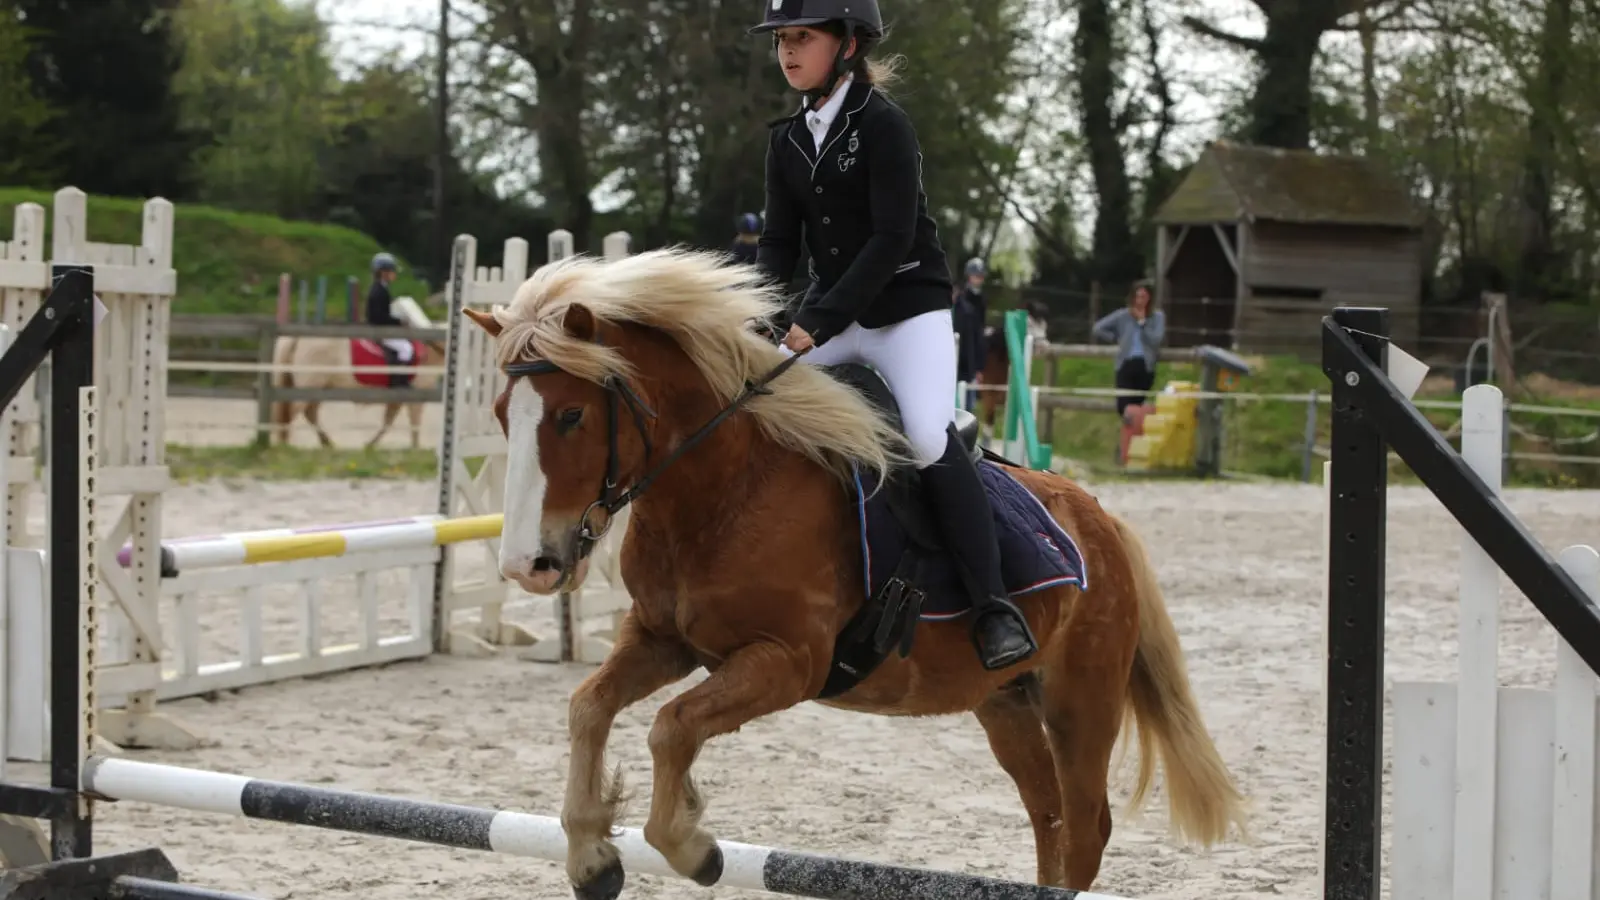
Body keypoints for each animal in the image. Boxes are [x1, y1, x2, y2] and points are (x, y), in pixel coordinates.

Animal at [457, 246, 1241, 896]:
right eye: (499, 412)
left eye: (570, 416)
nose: (529, 565)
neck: (721, 491)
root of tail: (1100, 519)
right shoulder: (663, 640)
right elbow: (588, 706)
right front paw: (592, 856)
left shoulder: (788, 662)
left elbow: (672, 727)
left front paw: (691, 845)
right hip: (1006, 704)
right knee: (1047, 816)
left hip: (1081, 702)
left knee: (1082, 828)